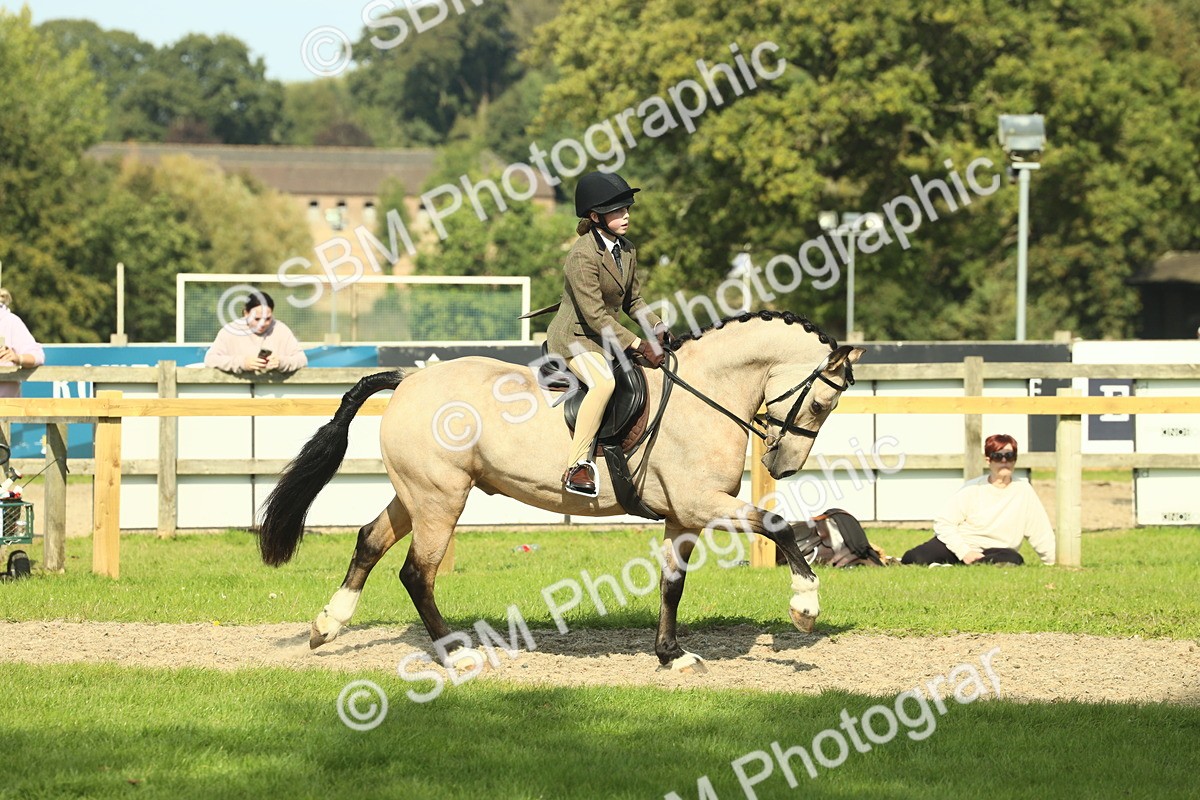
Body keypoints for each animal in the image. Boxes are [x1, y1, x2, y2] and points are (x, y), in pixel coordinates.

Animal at [258, 310, 863, 672]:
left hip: (417, 494)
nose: (781, 466)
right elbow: (778, 525)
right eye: (820, 404)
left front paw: (671, 655)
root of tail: (409, 380)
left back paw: (326, 626)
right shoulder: (702, 505)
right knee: (416, 573)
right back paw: (453, 655)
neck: (704, 393)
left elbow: (672, 585)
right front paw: (804, 605)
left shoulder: (682, 517)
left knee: (368, 539)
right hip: (439, 499)